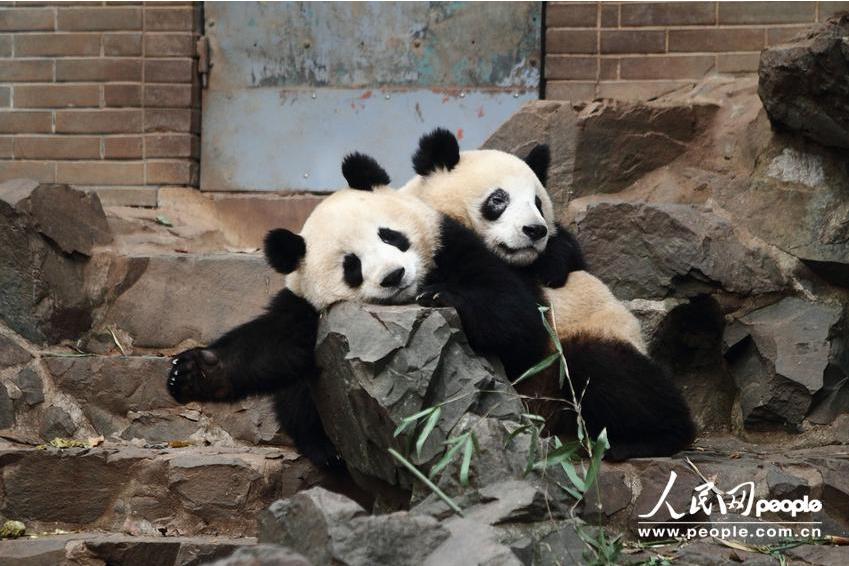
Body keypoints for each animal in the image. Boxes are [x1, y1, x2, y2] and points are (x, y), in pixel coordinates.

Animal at [400, 129, 692, 462]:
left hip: (583, 347)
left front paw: (441, 295)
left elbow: (519, 319)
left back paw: (642, 440)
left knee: (605, 370)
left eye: (538, 202)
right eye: (498, 199)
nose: (535, 230)